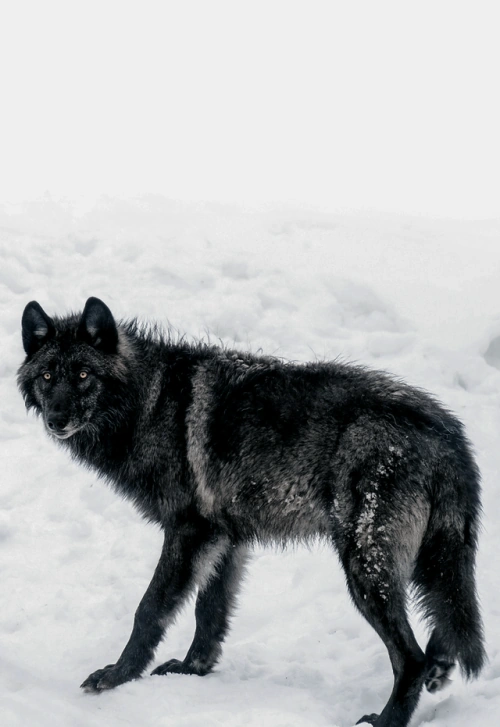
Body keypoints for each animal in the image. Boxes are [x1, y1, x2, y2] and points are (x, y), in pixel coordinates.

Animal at [18, 297, 485, 727]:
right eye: (47, 375)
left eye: (83, 374)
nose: (57, 419)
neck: (148, 402)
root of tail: (447, 434)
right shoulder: (226, 537)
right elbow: (209, 611)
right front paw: (192, 670)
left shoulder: (189, 531)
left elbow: (149, 610)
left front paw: (118, 676)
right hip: (425, 563)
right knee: (442, 627)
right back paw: (440, 668)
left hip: (365, 567)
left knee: (410, 656)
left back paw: (389, 718)